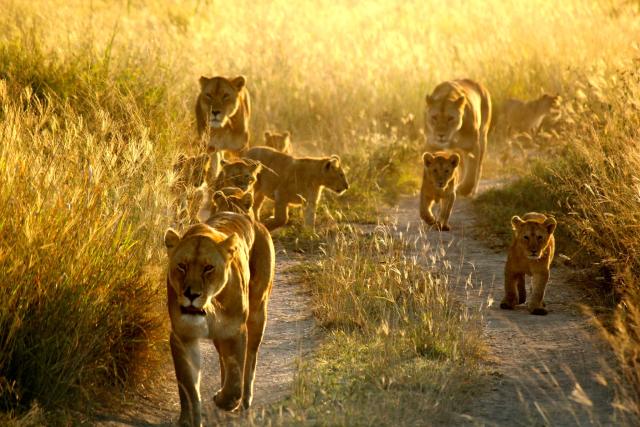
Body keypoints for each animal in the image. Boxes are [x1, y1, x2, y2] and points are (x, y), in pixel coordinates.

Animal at [164, 211, 274, 426]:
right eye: (182, 266)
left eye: (208, 268)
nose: (191, 294)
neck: (210, 306)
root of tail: (254, 221)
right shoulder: (183, 336)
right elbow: (187, 385)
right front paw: (189, 419)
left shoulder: (235, 331)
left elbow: (235, 379)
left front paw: (225, 401)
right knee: (224, 361)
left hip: (258, 313)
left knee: (250, 361)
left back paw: (244, 402)